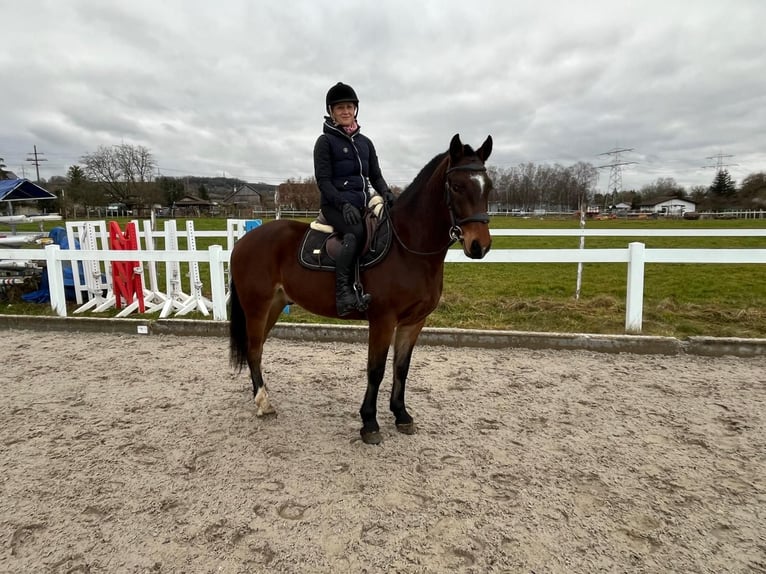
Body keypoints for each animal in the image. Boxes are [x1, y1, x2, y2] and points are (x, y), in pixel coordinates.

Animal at [228, 134, 496, 446]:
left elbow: (401, 368)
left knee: (256, 349)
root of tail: (243, 241)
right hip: (257, 307)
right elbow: (376, 370)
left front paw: (401, 415)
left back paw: (260, 397)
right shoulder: (383, 320)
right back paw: (263, 402)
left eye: (488, 186)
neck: (407, 248)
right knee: (254, 349)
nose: (479, 246)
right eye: (456, 186)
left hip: (274, 306)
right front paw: (369, 423)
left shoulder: (414, 322)